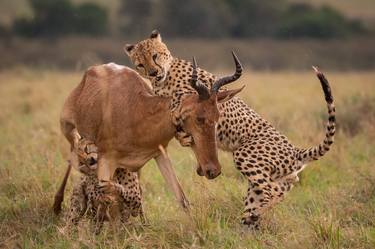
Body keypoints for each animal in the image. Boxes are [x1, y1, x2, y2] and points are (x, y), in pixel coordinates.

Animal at [53, 56, 247, 214]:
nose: (213, 170)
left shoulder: (159, 154)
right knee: (72, 156)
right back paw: (57, 205)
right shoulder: (106, 161)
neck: (138, 108)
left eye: (217, 116)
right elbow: (106, 198)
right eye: (199, 118)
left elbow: (182, 199)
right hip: (68, 128)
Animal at [124, 30, 338, 229]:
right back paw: (249, 222)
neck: (166, 77)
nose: (153, 73)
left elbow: (181, 109)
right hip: (265, 185)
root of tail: (296, 151)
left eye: (155, 56)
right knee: (266, 197)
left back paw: (253, 217)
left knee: (272, 192)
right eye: (140, 64)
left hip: (244, 155)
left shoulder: (197, 100)